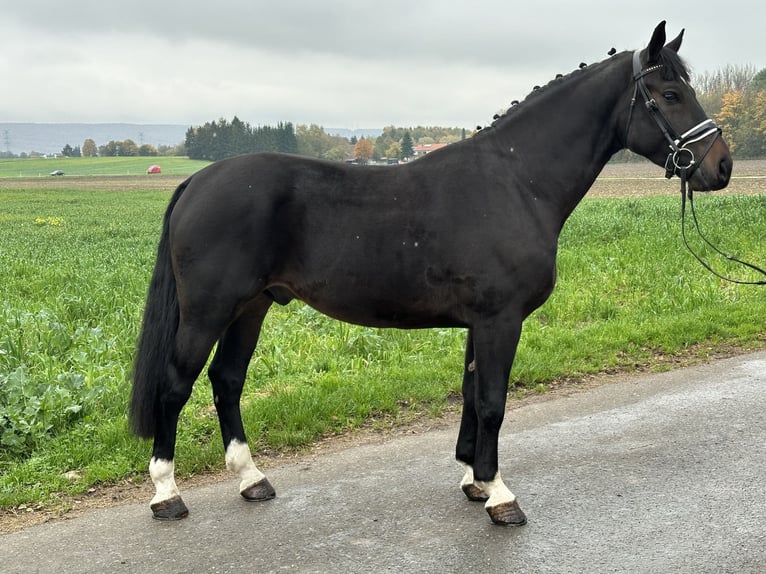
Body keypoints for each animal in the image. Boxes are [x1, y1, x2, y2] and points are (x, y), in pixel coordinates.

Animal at [130, 21, 732, 528]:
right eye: (670, 95)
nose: (721, 166)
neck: (517, 181)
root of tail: (198, 181)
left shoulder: (480, 323)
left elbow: (470, 394)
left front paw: (474, 480)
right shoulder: (499, 320)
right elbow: (492, 402)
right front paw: (501, 496)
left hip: (251, 307)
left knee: (227, 380)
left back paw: (251, 479)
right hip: (208, 311)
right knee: (176, 384)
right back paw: (166, 494)